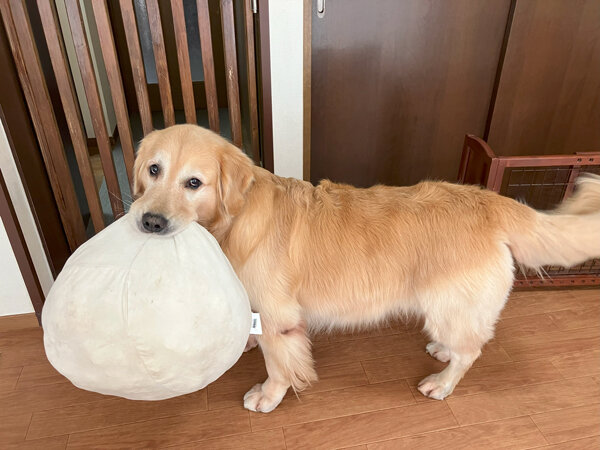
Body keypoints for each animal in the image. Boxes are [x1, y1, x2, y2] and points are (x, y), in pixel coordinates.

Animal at [131, 123, 600, 412]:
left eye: (194, 183)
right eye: (153, 170)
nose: (149, 222)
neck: (235, 219)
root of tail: (488, 200)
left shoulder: (281, 319)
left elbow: (279, 365)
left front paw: (268, 395)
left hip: (449, 306)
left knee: (472, 351)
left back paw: (442, 383)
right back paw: (442, 352)